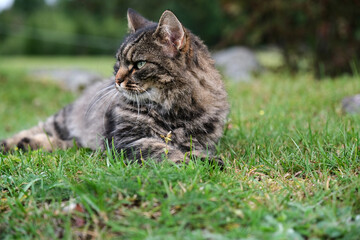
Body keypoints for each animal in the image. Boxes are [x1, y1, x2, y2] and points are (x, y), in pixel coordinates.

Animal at [0, 8, 229, 165]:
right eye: (118, 63)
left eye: (139, 64)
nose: (117, 81)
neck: (172, 113)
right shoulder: (129, 139)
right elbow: (165, 151)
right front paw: (193, 162)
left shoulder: (199, 141)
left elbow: (193, 150)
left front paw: (207, 159)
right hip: (60, 121)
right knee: (37, 132)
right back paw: (13, 144)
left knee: (69, 144)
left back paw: (31, 144)